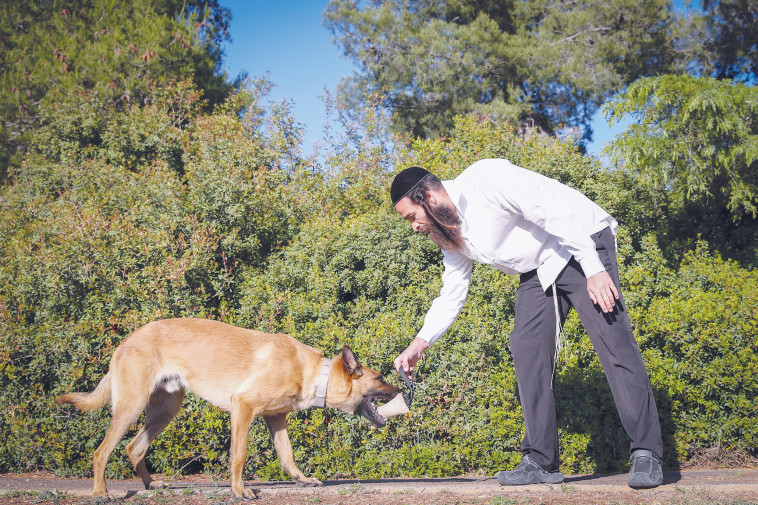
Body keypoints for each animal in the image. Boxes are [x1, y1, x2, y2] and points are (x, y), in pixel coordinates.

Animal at [56, 316, 404, 498]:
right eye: (381, 377)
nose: (402, 387)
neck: (314, 373)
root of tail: (125, 341)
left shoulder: (276, 419)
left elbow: (288, 455)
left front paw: (302, 480)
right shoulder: (244, 408)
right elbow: (239, 455)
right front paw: (240, 491)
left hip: (164, 410)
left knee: (134, 448)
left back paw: (152, 485)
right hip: (132, 405)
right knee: (101, 452)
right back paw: (100, 493)